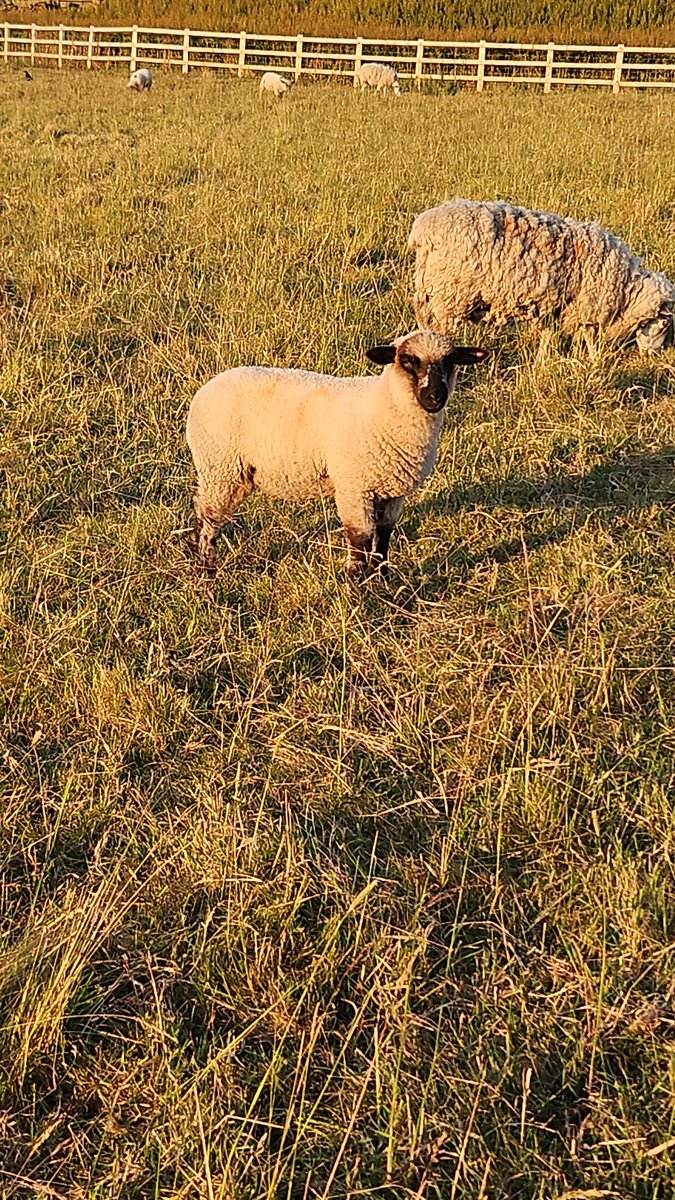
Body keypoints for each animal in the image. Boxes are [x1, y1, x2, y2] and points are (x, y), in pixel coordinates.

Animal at [186, 330, 488, 580]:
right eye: (408, 361)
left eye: (450, 361)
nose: (436, 397)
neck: (384, 406)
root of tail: (205, 390)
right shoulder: (354, 487)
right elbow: (360, 538)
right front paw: (358, 586)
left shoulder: (393, 490)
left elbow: (384, 534)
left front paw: (382, 577)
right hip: (220, 466)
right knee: (208, 514)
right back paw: (206, 569)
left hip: (235, 474)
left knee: (204, 507)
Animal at [408, 198, 675, 353]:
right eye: (664, 323)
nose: (656, 355)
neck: (626, 290)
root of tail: (424, 229)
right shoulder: (586, 308)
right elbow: (590, 338)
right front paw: (594, 359)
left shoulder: (552, 306)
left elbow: (547, 334)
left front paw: (544, 358)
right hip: (451, 294)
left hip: (428, 286)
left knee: (423, 318)